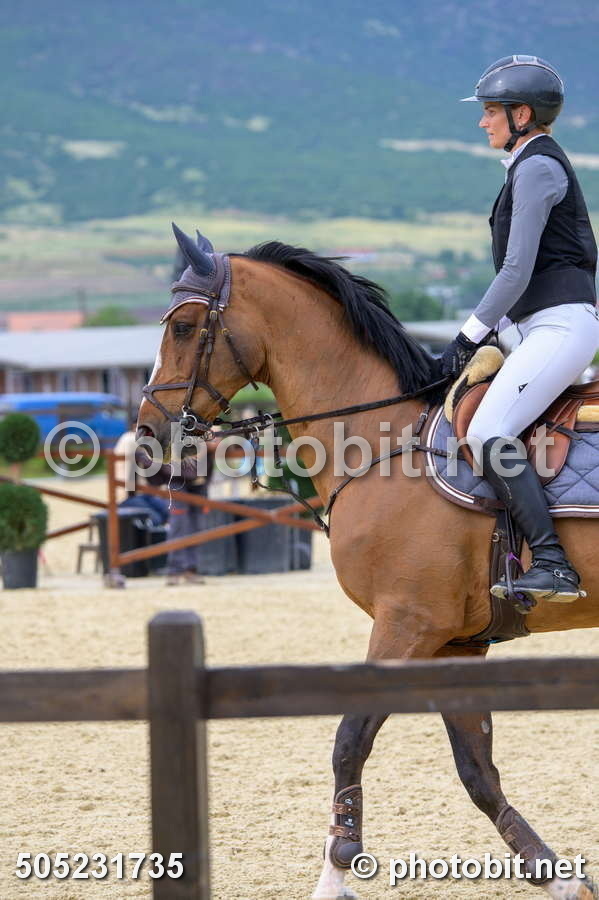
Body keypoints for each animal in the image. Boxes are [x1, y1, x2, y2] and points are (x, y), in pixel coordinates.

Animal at [138, 225, 599, 900]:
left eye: (183, 327)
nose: (150, 432)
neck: (384, 438)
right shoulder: (456, 642)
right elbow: (477, 769)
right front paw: (558, 875)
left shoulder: (407, 624)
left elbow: (350, 739)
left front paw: (337, 867)